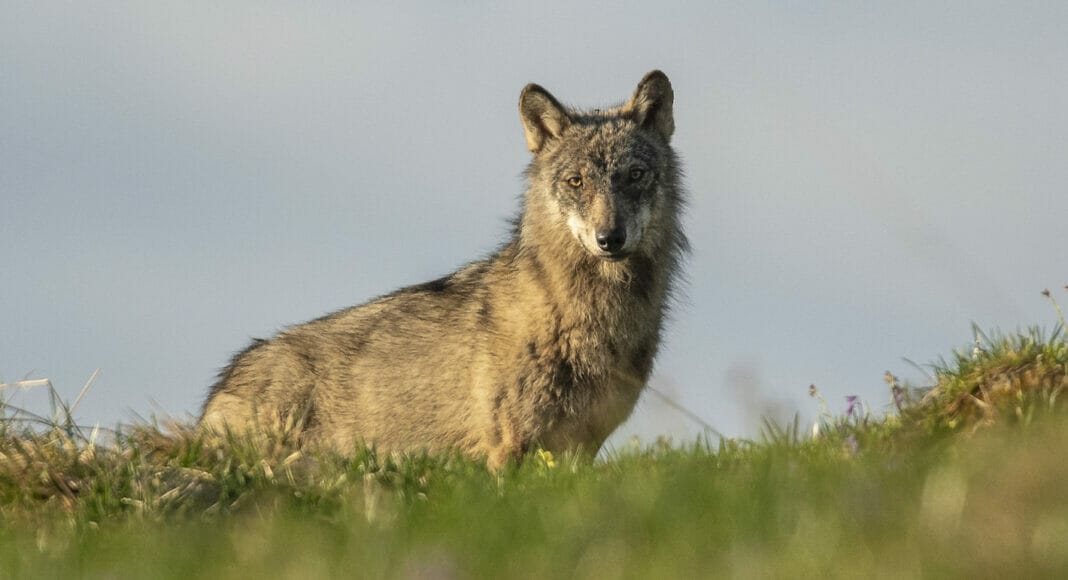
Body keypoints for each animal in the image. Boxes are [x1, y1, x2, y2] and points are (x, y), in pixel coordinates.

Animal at [200, 70, 688, 468]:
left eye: (635, 175)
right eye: (576, 182)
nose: (610, 238)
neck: (590, 319)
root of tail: (220, 387)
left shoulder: (582, 447)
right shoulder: (509, 446)